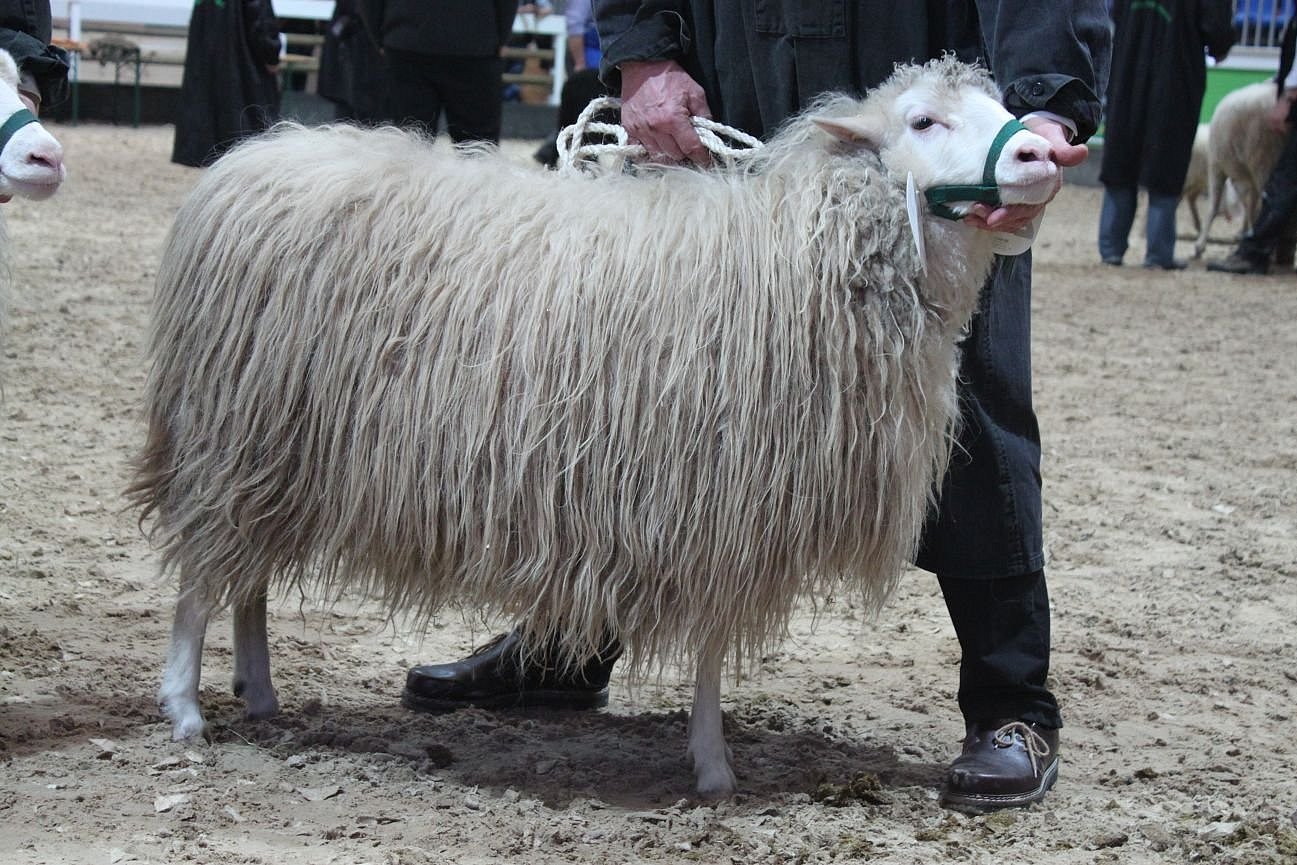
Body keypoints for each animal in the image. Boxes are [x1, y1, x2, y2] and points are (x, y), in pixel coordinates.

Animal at [131, 55, 1058, 798]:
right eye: (923, 120)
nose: (1043, 153)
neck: (804, 252)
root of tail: (252, 156)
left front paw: (708, 757)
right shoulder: (715, 496)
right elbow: (710, 647)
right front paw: (712, 767)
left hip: (275, 443)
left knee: (245, 574)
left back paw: (258, 691)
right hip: (232, 428)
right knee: (203, 575)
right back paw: (183, 705)